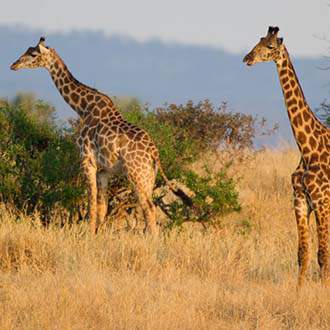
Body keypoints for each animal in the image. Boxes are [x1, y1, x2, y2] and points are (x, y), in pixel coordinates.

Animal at [10, 37, 193, 235]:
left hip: (136, 174)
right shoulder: (104, 171)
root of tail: (154, 153)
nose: (14, 65)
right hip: (149, 177)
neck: (84, 108)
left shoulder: (87, 160)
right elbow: (102, 207)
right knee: (148, 207)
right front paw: (98, 234)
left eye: (33, 54)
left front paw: (88, 234)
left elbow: (91, 202)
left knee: (149, 208)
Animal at [242, 26, 330, 286]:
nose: (247, 58)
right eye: (260, 40)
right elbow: (303, 253)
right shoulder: (299, 200)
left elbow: (323, 254)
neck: (306, 148)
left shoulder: (321, 200)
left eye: (270, 46)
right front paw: (298, 291)